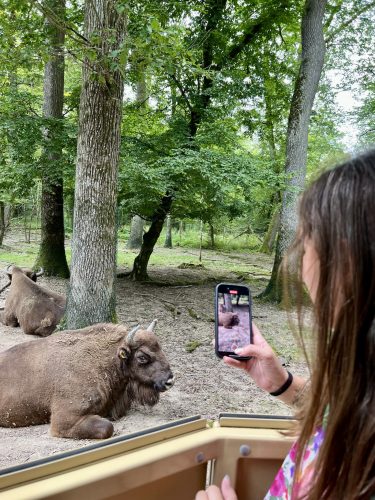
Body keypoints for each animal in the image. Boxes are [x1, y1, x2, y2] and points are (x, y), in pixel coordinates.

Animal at [0, 320, 175, 438]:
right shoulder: (65, 419)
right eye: (142, 357)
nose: (169, 381)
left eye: (160, 348)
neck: (105, 361)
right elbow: (107, 427)